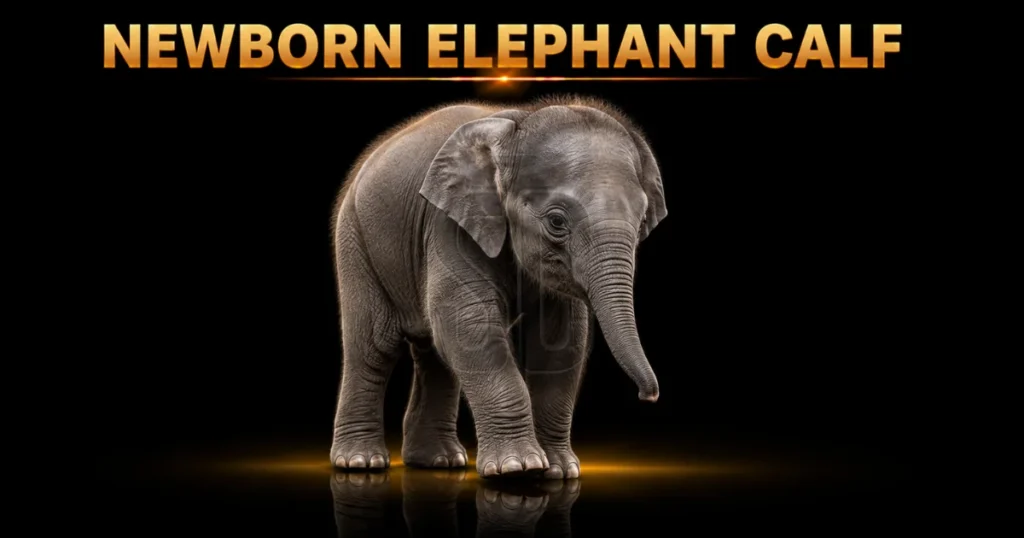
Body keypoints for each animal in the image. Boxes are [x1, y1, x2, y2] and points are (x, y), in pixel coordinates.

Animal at [329, 95, 668, 479]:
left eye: (642, 221)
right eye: (556, 221)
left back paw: (440, 461)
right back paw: (360, 463)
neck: (520, 124)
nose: (649, 396)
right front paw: (518, 469)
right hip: (355, 240)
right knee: (373, 347)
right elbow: (468, 323)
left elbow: (561, 340)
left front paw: (559, 471)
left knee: (433, 354)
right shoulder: (447, 223)